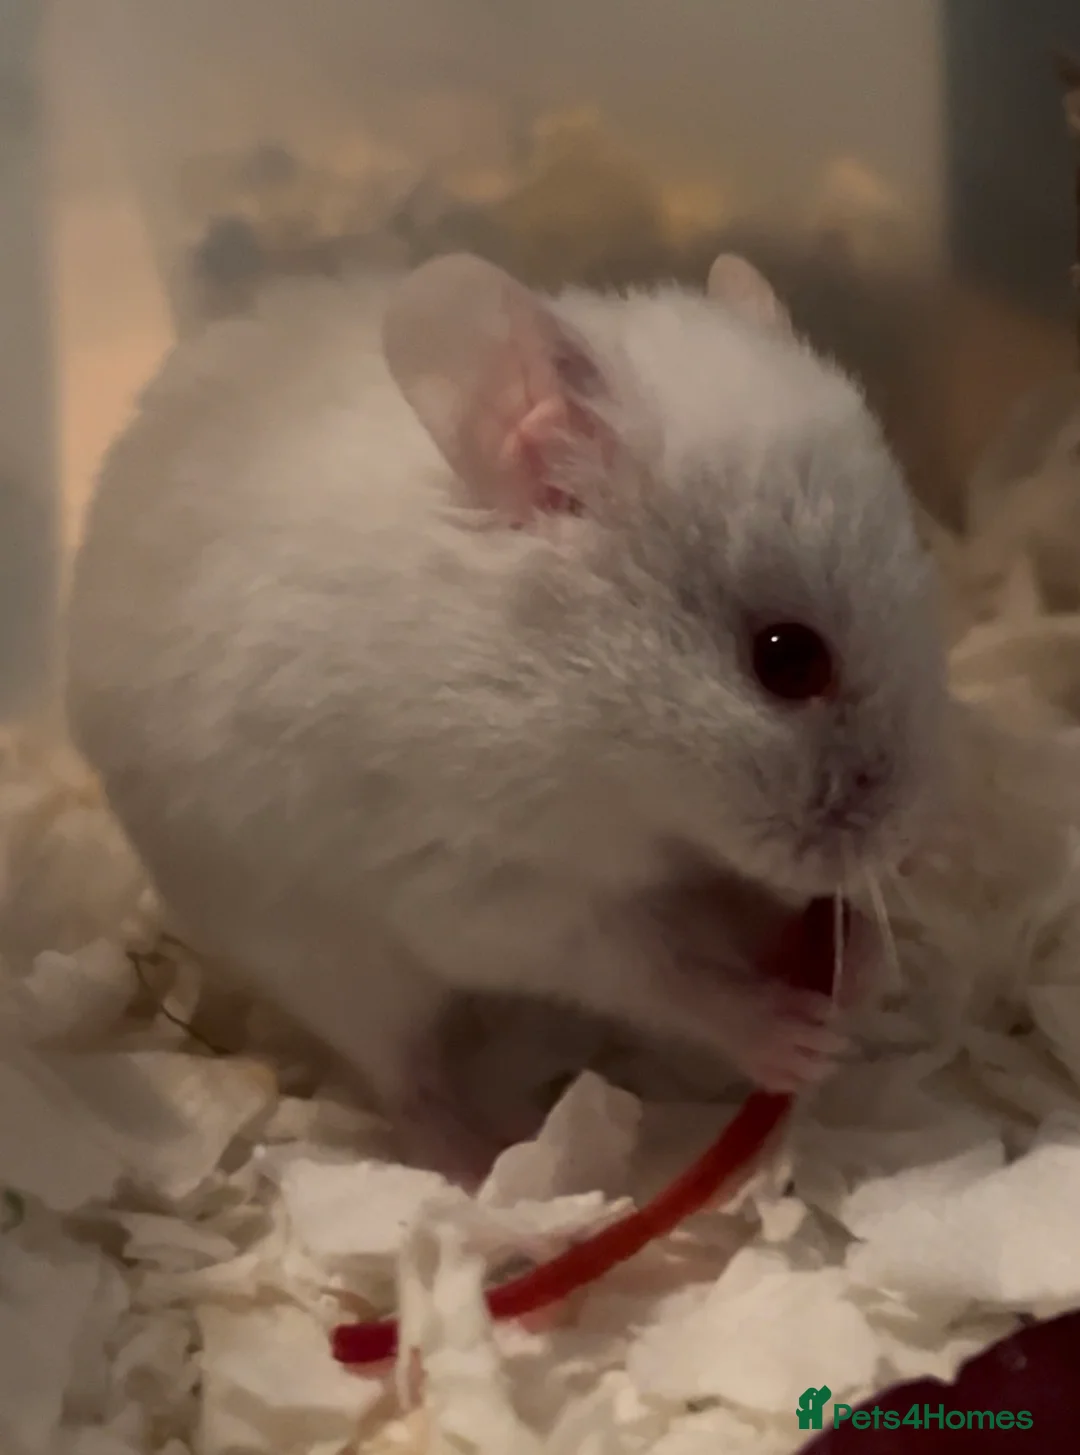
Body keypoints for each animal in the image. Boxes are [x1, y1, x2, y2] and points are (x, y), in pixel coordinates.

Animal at [65, 251, 946, 1179]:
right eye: (787, 657)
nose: (909, 848)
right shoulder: (488, 891)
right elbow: (653, 971)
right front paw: (799, 1042)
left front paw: (865, 961)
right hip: (330, 963)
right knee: (401, 1072)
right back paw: (482, 1157)